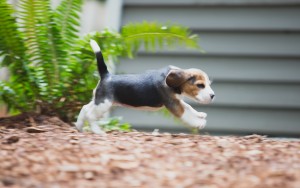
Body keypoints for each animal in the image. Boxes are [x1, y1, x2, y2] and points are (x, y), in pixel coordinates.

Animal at [76, 40, 214, 134]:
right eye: (200, 85)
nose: (213, 96)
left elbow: (189, 108)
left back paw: (79, 126)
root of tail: (106, 75)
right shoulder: (173, 104)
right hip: (104, 104)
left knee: (85, 108)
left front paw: (200, 115)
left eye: (208, 84)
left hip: (99, 101)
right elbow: (185, 114)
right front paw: (199, 123)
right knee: (90, 115)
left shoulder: (176, 100)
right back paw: (97, 131)